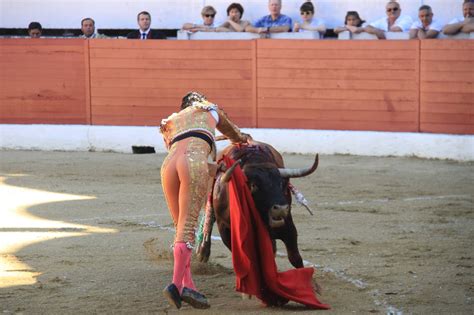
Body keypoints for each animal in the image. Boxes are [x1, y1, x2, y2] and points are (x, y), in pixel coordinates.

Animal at [196, 141, 318, 270]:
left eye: (281, 183)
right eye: (254, 185)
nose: (281, 208)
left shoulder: (287, 224)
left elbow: (295, 258)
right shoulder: (225, 228)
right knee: (209, 219)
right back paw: (202, 253)